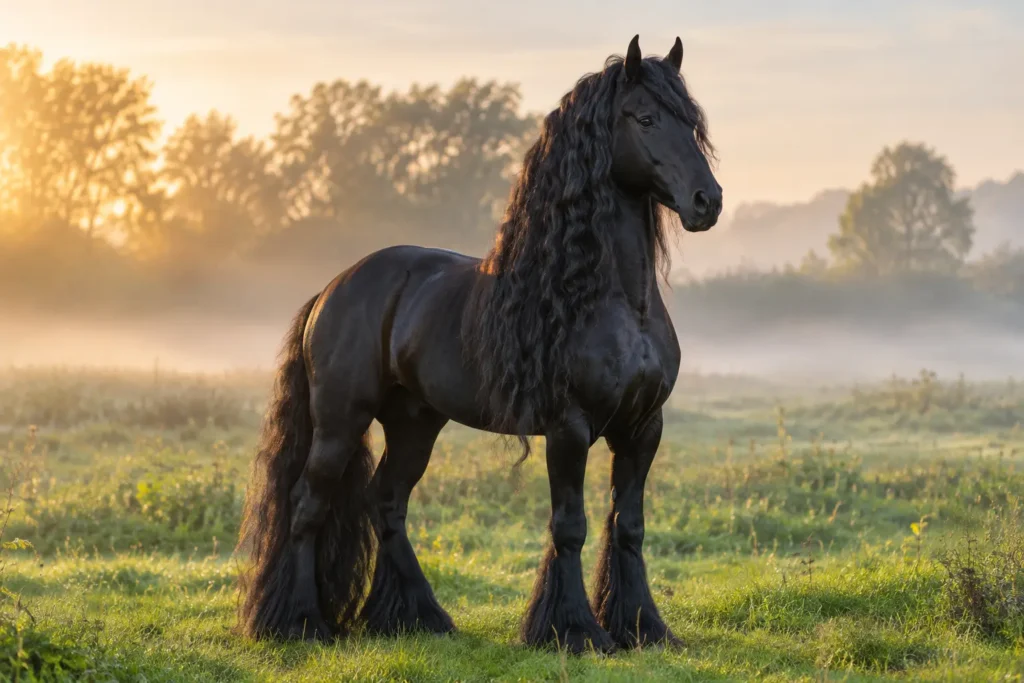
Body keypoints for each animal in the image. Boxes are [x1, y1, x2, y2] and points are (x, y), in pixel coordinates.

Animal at [235, 34, 722, 654]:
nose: (707, 201)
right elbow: (571, 526)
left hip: (415, 423)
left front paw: (642, 627)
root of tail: (332, 288)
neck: (612, 301)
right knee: (307, 505)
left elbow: (628, 526)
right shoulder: (569, 427)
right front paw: (571, 630)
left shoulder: (642, 429)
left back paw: (416, 617)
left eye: (692, 123)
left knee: (385, 501)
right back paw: (298, 623)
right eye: (644, 117)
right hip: (340, 420)